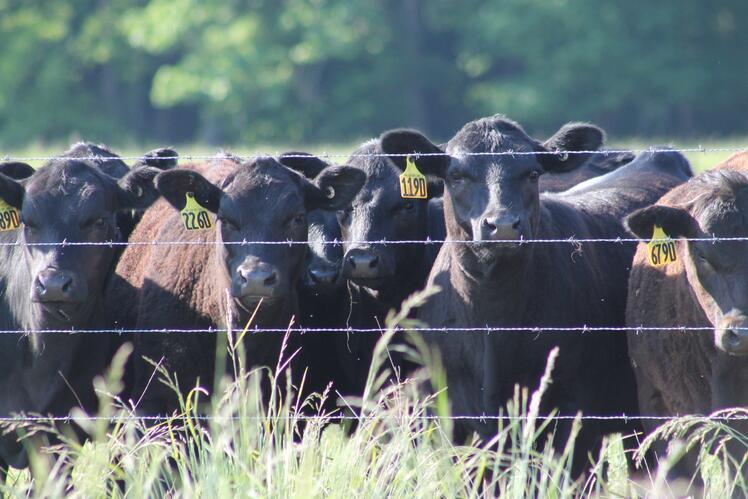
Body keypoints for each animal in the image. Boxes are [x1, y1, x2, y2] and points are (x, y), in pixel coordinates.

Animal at [382, 115, 692, 474]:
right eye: (456, 175)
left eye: (532, 173)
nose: (502, 226)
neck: (493, 326)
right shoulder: (456, 417)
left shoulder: (572, 417)